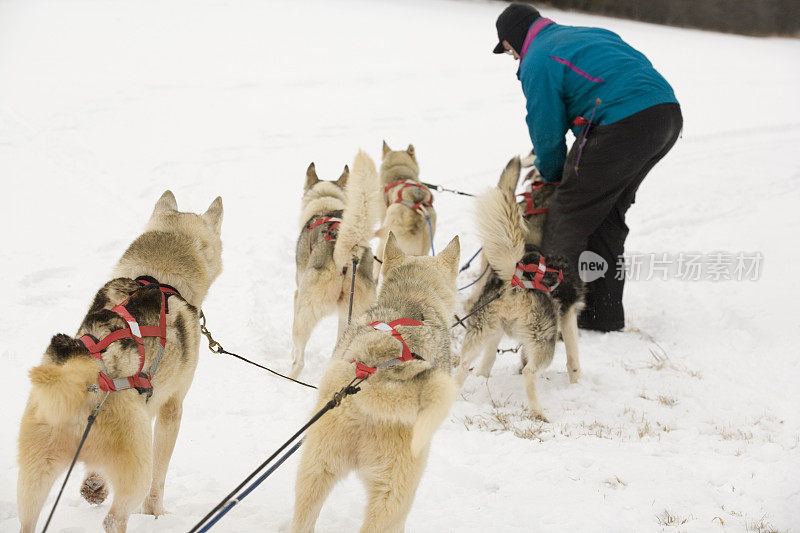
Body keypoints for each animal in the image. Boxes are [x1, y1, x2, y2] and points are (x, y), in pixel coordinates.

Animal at [18, 189, 225, 528]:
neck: (157, 278)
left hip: (33, 476)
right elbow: (159, 477)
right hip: (135, 462)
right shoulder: (170, 409)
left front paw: (94, 486)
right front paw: (155, 513)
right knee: (116, 517)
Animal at [290, 152, 384, 378]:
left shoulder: (297, 294)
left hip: (304, 314)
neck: (325, 207)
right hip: (353, 317)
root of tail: (348, 256)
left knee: (299, 359)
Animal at [456, 158, 580, 420]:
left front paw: (482, 378)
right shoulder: (568, 313)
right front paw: (577, 383)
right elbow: (573, 357)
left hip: (480, 329)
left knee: (462, 365)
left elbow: (488, 360)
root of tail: (518, 278)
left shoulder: (496, 330)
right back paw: (538, 412)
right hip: (545, 341)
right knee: (530, 373)